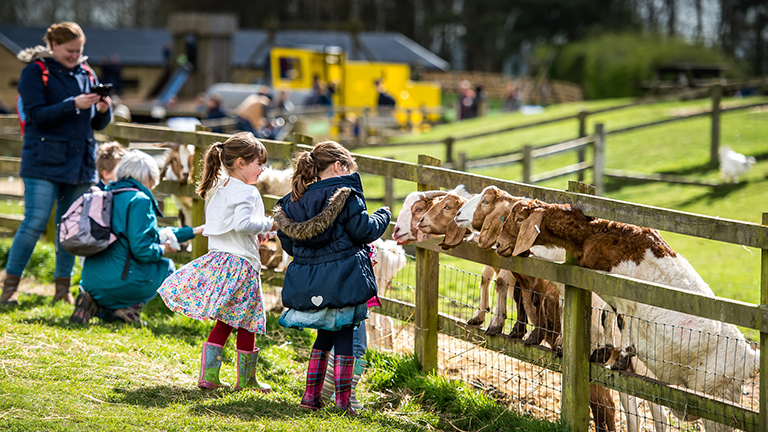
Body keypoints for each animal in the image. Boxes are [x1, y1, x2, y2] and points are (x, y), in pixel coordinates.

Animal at [498, 200, 756, 432]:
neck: (598, 234)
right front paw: (604, 351)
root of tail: (751, 357)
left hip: (718, 397)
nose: (499, 245)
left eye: (519, 219)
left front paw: (619, 357)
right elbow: (607, 315)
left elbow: (624, 323)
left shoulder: (626, 294)